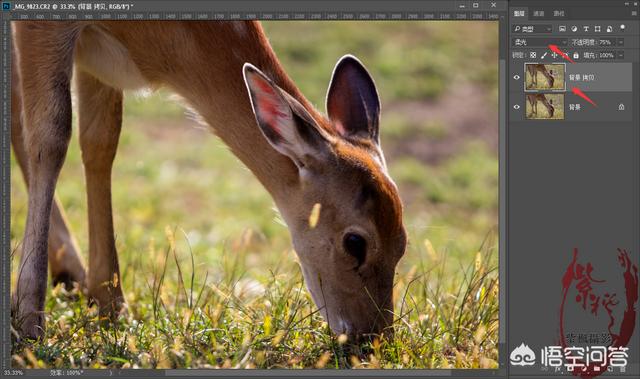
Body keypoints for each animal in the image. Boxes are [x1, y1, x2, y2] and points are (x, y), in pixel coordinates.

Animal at [10, 20, 408, 342]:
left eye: (403, 243)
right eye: (355, 242)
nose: (373, 337)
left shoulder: (98, 65)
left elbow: (100, 141)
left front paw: (111, 304)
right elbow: (50, 134)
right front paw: (30, 319)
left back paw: (71, 273)